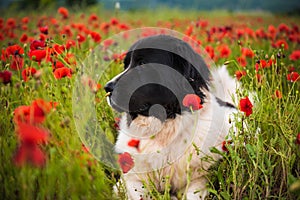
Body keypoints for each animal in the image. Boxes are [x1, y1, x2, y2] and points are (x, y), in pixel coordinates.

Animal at [105, 35, 239, 199]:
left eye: (142, 64)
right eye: (125, 65)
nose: (107, 88)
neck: (164, 129)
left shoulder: (200, 179)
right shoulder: (132, 179)